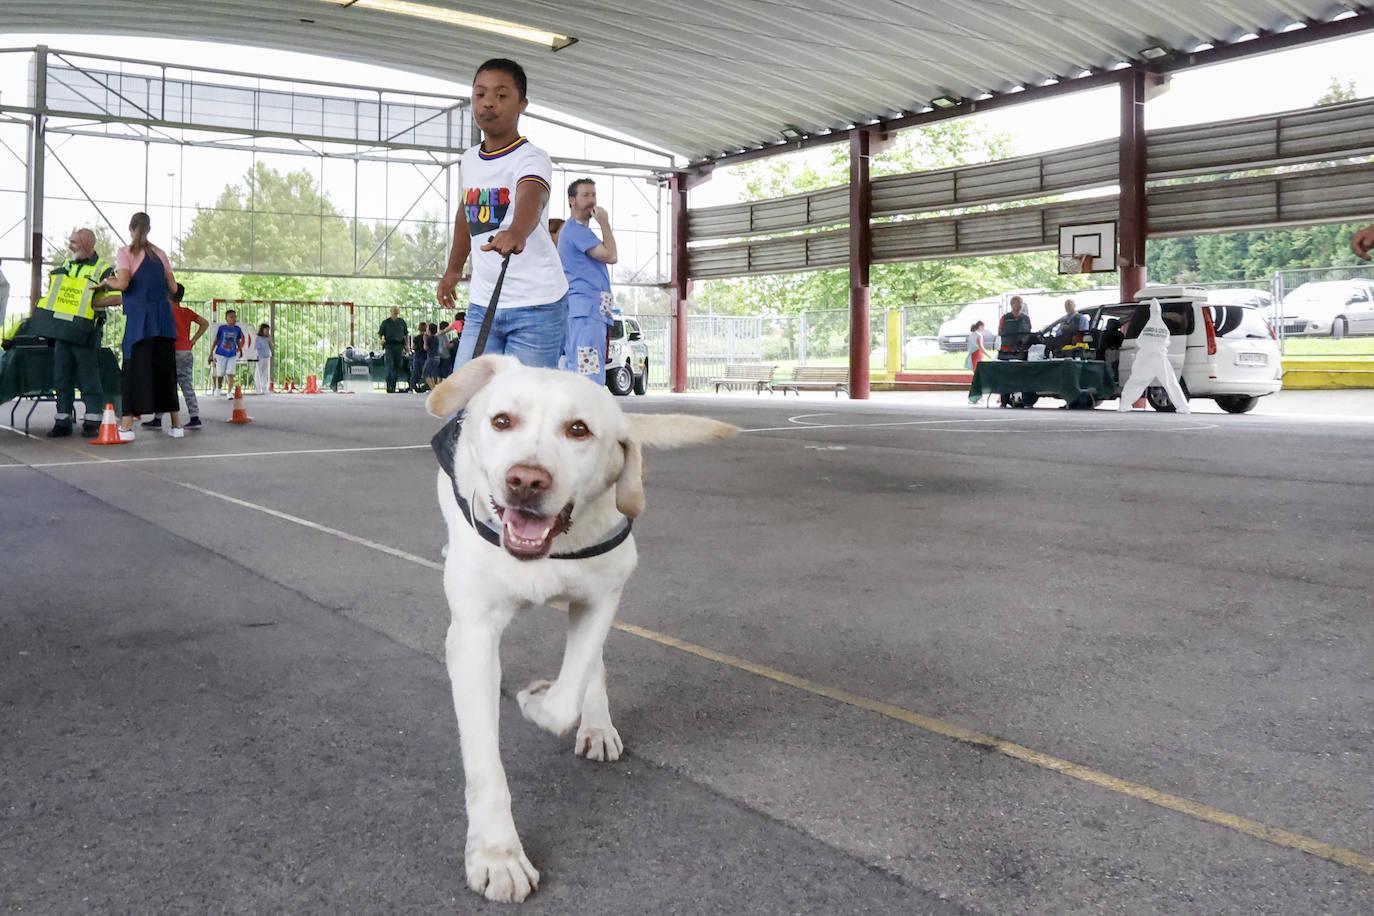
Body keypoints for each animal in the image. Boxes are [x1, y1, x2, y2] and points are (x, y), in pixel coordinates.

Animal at [423, 354, 736, 900]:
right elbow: (485, 765)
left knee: (592, 669)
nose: (526, 481)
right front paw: (498, 855)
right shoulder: (474, 636)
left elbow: (565, 699)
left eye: (578, 430)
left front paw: (538, 701)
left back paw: (598, 725)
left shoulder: (601, 598)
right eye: (502, 420)